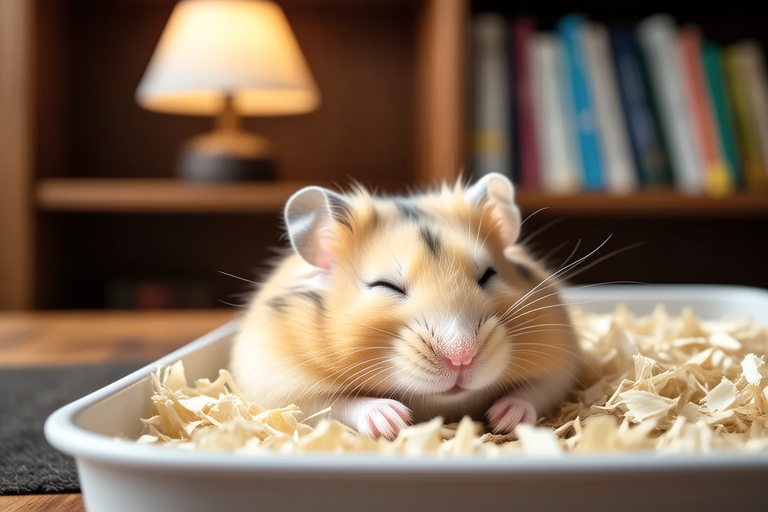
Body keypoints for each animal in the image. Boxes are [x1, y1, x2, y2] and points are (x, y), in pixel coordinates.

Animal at [229, 172, 583, 440]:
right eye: (386, 286)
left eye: (487, 275)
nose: (461, 358)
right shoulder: (283, 388)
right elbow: (334, 405)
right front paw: (393, 419)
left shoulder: (561, 362)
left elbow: (536, 391)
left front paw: (503, 417)